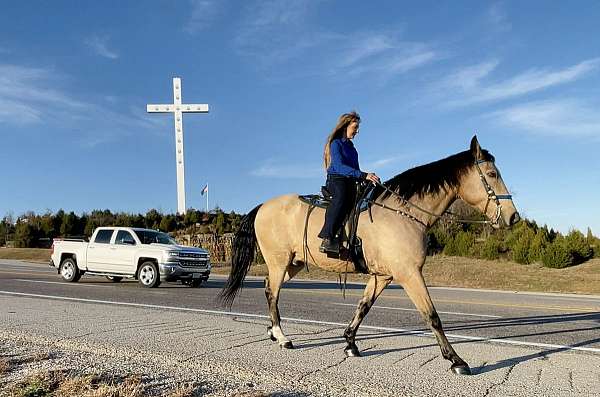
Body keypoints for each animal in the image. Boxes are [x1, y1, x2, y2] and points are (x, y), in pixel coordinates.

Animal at [221, 136, 520, 374]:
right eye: (492, 174)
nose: (513, 217)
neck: (403, 213)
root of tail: (263, 206)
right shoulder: (409, 274)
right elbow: (432, 316)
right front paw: (456, 360)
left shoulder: (383, 276)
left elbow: (363, 306)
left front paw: (350, 343)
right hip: (279, 261)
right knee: (272, 292)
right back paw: (283, 337)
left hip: (292, 263)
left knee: (269, 288)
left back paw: (273, 332)